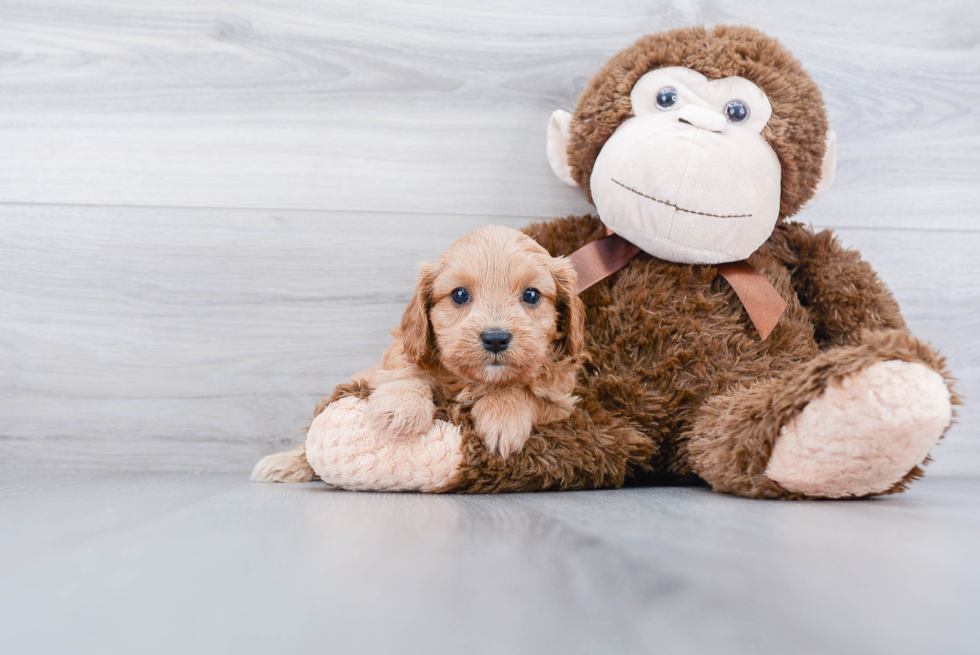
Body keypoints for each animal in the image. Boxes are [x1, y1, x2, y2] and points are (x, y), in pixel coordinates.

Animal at [362, 226, 584, 462]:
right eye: (459, 294)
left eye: (531, 295)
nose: (495, 339)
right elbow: (407, 369)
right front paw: (402, 404)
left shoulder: (560, 401)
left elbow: (524, 391)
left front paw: (503, 413)